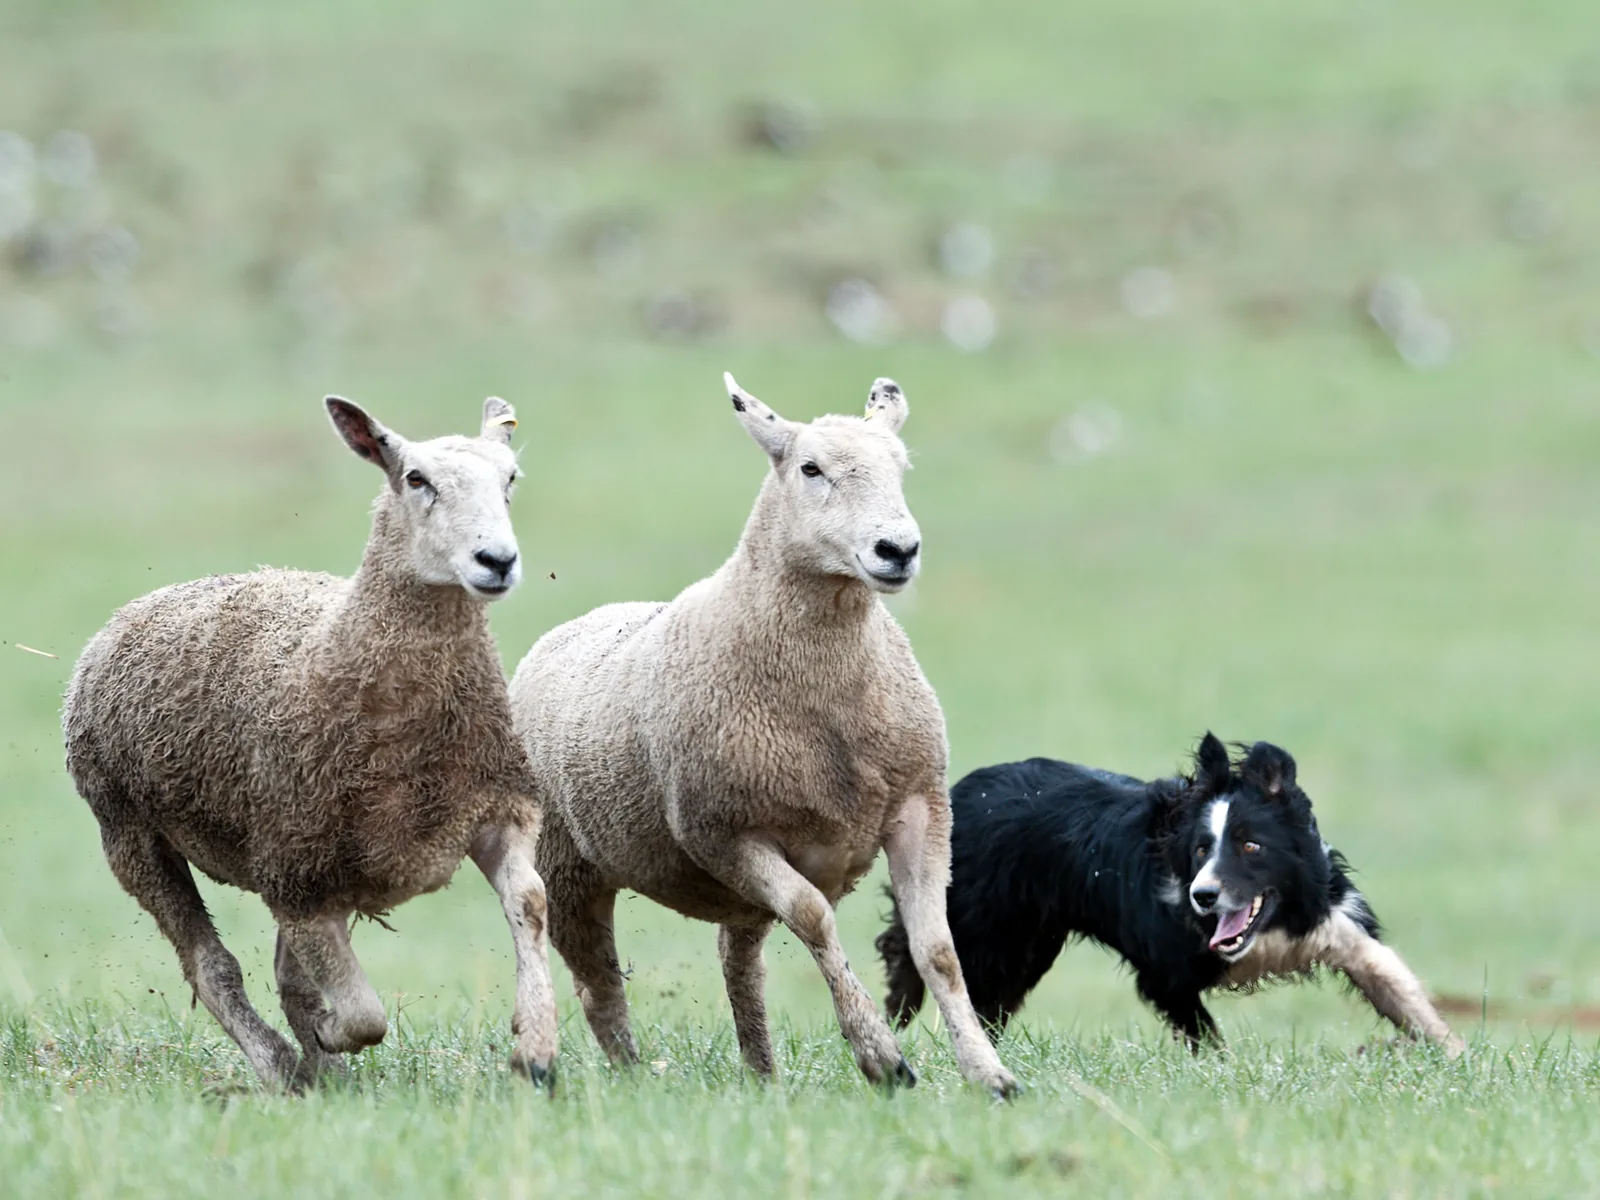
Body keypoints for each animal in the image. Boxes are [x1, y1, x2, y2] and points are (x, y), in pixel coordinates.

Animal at [62, 396, 559, 1091]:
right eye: (415, 479)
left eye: (510, 478)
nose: (497, 560)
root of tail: (123, 618)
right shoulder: (298, 879)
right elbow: (365, 1014)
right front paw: (326, 1037)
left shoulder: (497, 809)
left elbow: (530, 904)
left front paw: (535, 1049)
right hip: (135, 836)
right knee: (212, 967)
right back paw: (281, 1066)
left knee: (281, 972)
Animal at [507, 372, 1019, 1096]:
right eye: (810, 469)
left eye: (901, 467)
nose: (898, 551)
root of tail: (565, 630)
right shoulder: (728, 834)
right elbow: (813, 919)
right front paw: (881, 1056)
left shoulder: (920, 805)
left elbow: (939, 950)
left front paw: (989, 1073)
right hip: (568, 864)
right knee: (600, 986)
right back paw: (632, 1078)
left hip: (728, 894)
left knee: (737, 963)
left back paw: (762, 1074)